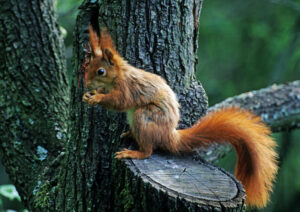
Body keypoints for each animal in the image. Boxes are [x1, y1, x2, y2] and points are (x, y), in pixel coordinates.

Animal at [82, 26, 278, 207]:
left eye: (100, 71)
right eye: (87, 66)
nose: (86, 84)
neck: (119, 75)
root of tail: (170, 136)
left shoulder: (128, 88)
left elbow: (120, 102)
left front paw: (97, 98)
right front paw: (90, 94)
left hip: (143, 116)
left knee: (148, 151)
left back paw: (133, 152)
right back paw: (130, 134)